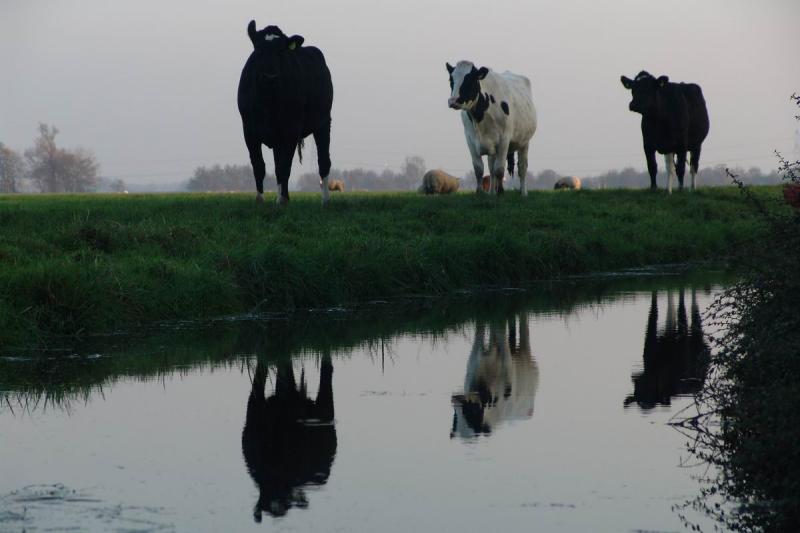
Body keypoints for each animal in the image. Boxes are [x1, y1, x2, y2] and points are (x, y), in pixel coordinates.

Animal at [239, 21, 336, 204]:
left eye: (281, 51)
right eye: (258, 50)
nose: (270, 77)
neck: (267, 101)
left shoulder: (291, 129)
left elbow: (284, 168)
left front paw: (280, 201)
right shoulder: (249, 130)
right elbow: (259, 166)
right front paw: (260, 199)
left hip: (323, 122)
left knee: (323, 161)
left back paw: (326, 200)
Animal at [444, 61, 536, 195]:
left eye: (470, 79)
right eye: (451, 79)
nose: (453, 101)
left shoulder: (504, 140)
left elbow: (499, 169)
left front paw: (500, 192)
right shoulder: (470, 140)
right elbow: (479, 168)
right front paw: (479, 192)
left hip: (524, 142)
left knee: (522, 167)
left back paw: (523, 193)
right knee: (491, 168)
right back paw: (491, 192)